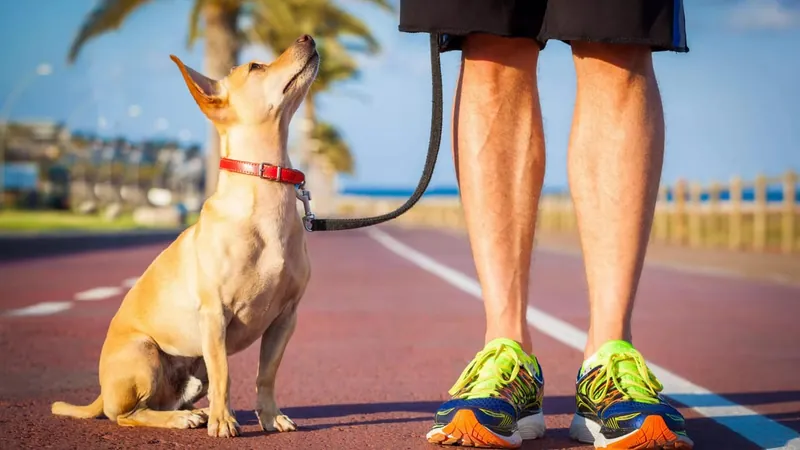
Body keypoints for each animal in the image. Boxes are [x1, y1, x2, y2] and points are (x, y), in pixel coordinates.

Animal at [49, 35, 318, 440]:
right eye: (255, 66)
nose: (307, 37)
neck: (267, 190)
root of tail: (102, 392)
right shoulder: (215, 315)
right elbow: (226, 375)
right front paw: (225, 422)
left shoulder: (286, 318)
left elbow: (266, 375)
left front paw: (270, 417)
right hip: (144, 353)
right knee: (128, 414)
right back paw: (186, 418)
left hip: (192, 371)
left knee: (162, 403)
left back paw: (196, 412)